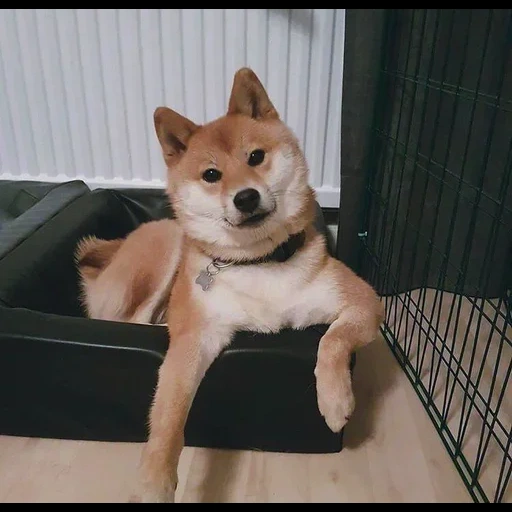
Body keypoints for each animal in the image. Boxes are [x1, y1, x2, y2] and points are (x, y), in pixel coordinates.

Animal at [74, 66, 382, 502]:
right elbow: (168, 413)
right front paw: (155, 480)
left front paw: (335, 399)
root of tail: (113, 249)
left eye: (256, 157)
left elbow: (332, 339)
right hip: (167, 249)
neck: (258, 262)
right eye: (211, 175)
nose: (246, 197)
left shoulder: (362, 299)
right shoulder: (196, 336)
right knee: (130, 321)